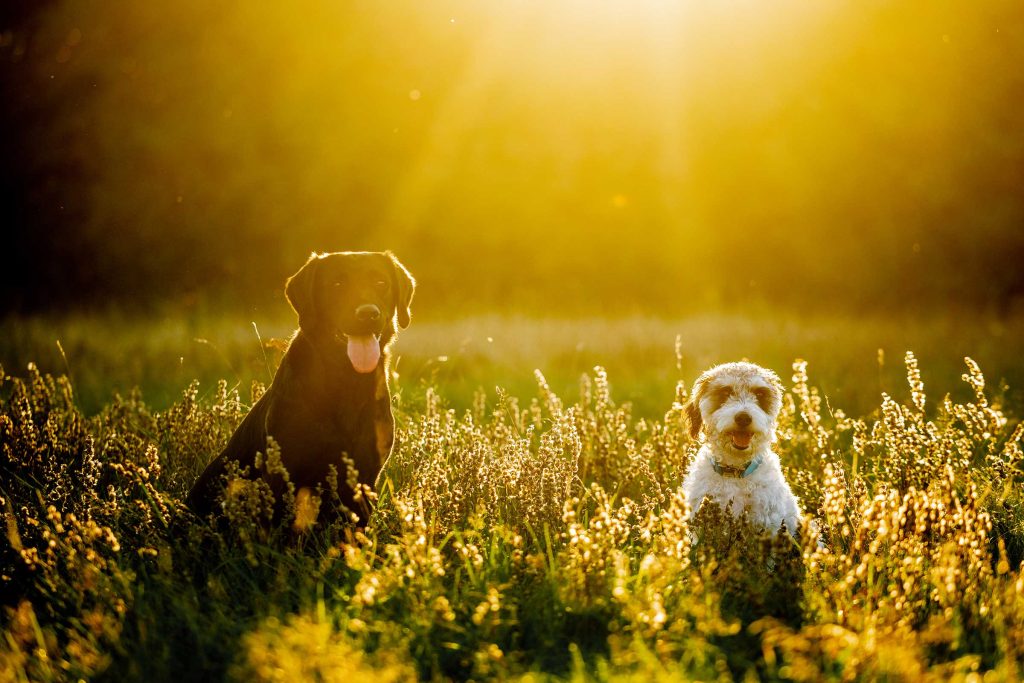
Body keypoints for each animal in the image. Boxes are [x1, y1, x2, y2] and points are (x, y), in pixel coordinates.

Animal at [188, 253, 415, 528]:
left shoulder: (366, 474)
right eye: (337, 285)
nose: (368, 313)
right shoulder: (283, 470)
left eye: (381, 282)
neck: (345, 381)